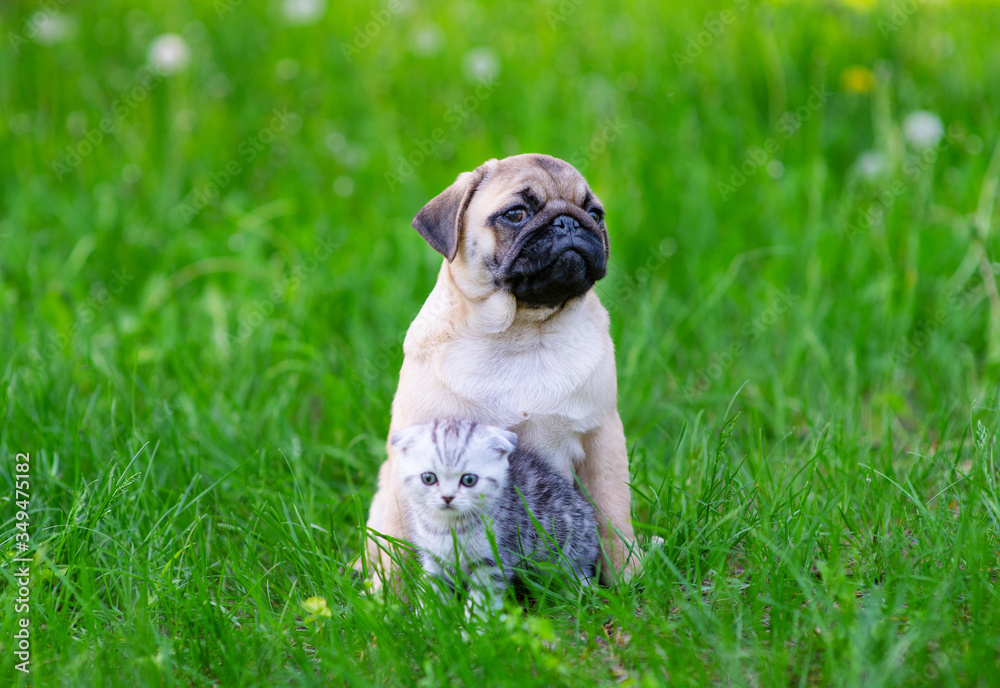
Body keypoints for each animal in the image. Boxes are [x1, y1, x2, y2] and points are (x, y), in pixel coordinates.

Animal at [364, 153, 636, 588]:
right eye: (516, 214)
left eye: (595, 214)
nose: (570, 222)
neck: (523, 333)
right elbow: (399, 542)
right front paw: (389, 599)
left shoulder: (602, 440)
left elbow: (613, 518)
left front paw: (630, 580)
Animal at [390, 416, 596, 612]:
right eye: (429, 478)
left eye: (469, 480)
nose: (447, 497)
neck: (450, 526)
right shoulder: (434, 556)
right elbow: (431, 590)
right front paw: (427, 617)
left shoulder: (494, 558)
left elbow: (481, 598)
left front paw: (474, 623)